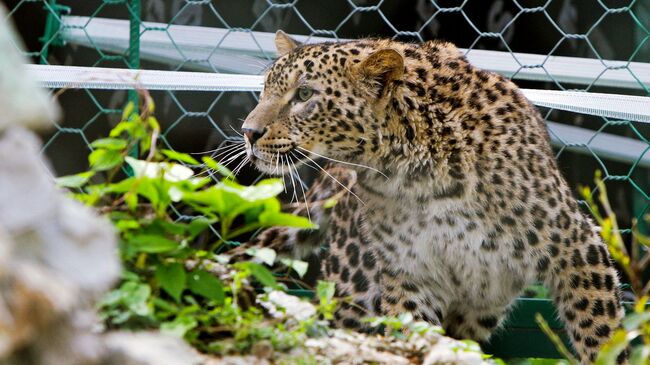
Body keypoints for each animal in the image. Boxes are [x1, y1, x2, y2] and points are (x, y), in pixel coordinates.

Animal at [238, 29, 624, 362]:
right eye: (265, 90)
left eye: (304, 96)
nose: (248, 132)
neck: (414, 175)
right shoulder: (411, 277)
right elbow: (415, 335)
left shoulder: (577, 248)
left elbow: (602, 333)